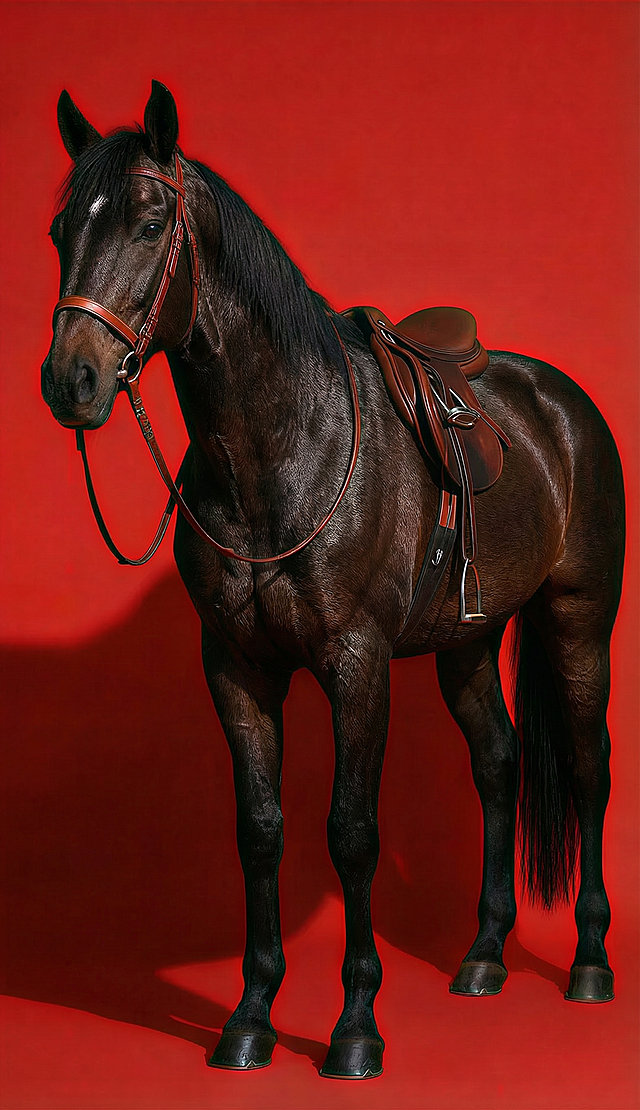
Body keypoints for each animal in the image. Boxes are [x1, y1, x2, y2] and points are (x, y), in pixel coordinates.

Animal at [41, 81, 625, 1080]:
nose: (69, 379)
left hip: (577, 622)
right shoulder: (237, 668)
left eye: (151, 223)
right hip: (468, 643)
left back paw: (588, 963)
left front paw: (354, 1028)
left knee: (587, 769)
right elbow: (261, 830)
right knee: (499, 763)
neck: (280, 452)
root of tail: (565, 405)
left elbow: (350, 832)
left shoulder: (357, 665)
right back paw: (482, 957)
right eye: (57, 230)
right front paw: (250, 1019)